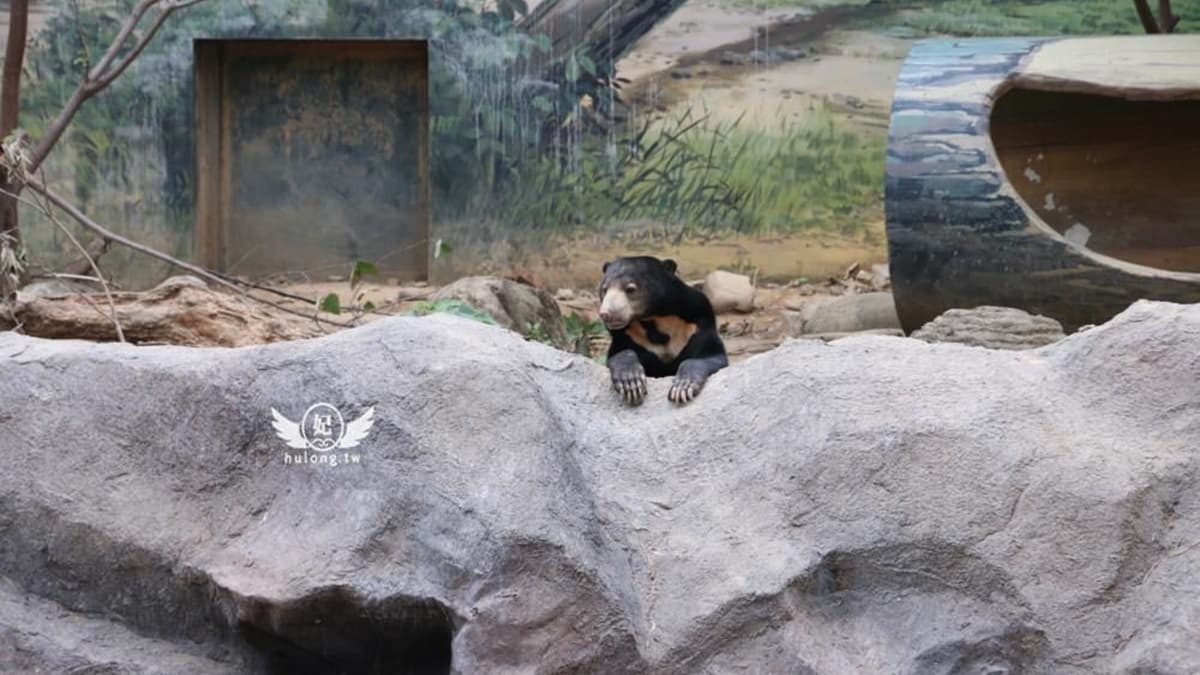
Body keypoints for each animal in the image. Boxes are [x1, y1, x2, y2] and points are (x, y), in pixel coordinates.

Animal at [597, 256, 729, 405]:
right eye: (604, 289)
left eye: (630, 289)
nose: (606, 314)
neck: (653, 320)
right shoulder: (628, 336)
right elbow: (618, 353)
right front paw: (631, 382)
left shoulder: (697, 323)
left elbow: (711, 355)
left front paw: (682, 388)